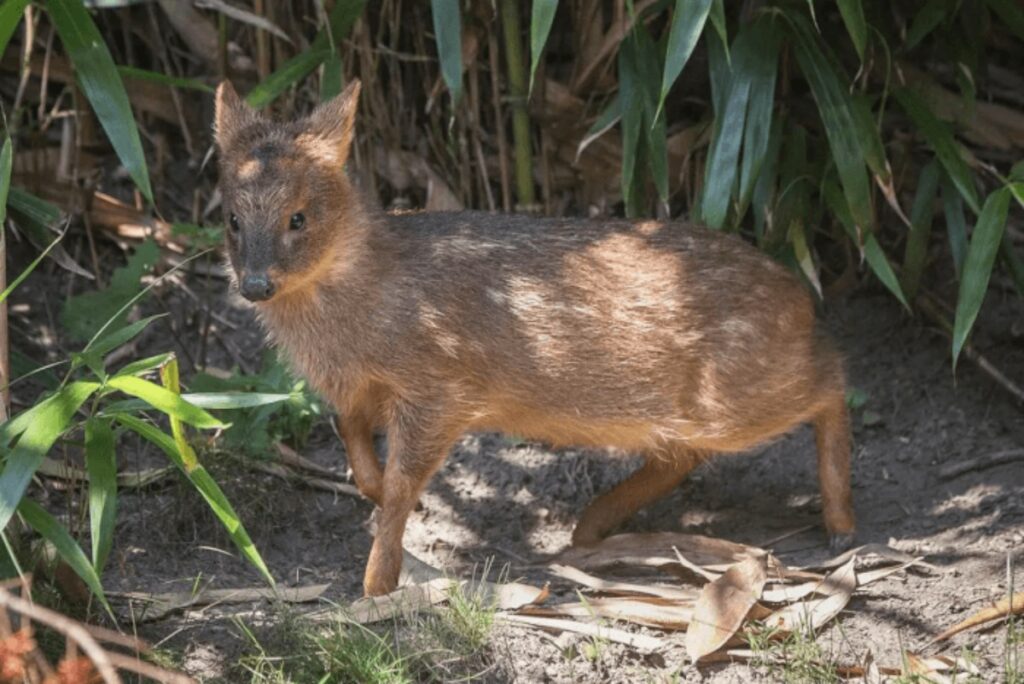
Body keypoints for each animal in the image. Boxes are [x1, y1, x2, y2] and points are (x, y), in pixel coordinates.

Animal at [211, 78, 851, 593]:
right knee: (684, 453)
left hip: (741, 393)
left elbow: (401, 486)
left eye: (298, 217)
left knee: (833, 378)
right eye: (232, 219)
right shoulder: (356, 391)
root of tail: (799, 299)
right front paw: (370, 519)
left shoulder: (440, 386)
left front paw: (376, 588)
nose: (256, 284)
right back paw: (591, 527)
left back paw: (840, 523)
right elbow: (361, 456)